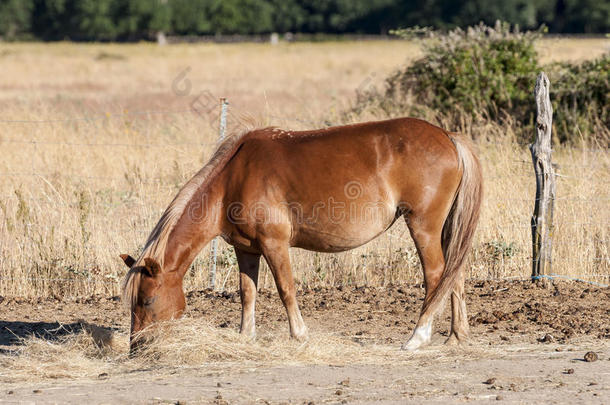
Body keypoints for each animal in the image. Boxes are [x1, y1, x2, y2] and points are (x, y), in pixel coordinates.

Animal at [119, 116, 480, 350]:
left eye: (147, 299)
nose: (136, 348)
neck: (233, 179)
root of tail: (448, 136)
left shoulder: (274, 245)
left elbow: (286, 290)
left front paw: (300, 335)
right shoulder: (246, 250)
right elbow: (247, 293)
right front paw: (245, 336)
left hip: (423, 227)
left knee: (436, 275)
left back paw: (418, 337)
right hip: (444, 229)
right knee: (454, 274)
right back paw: (456, 336)